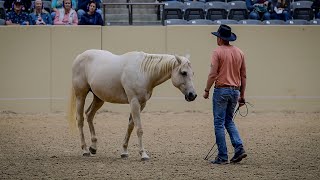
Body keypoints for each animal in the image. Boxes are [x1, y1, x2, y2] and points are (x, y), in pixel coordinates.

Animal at [68, 49, 198, 160]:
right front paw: (143, 154)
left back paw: (93, 147)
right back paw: (85, 150)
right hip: (80, 96)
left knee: (89, 115)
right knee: (80, 119)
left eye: (192, 73)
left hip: (99, 98)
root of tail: (80, 56)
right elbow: (139, 128)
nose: (193, 95)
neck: (144, 72)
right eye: (183, 72)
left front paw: (124, 152)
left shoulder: (141, 103)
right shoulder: (134, 102)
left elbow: (131, 126)